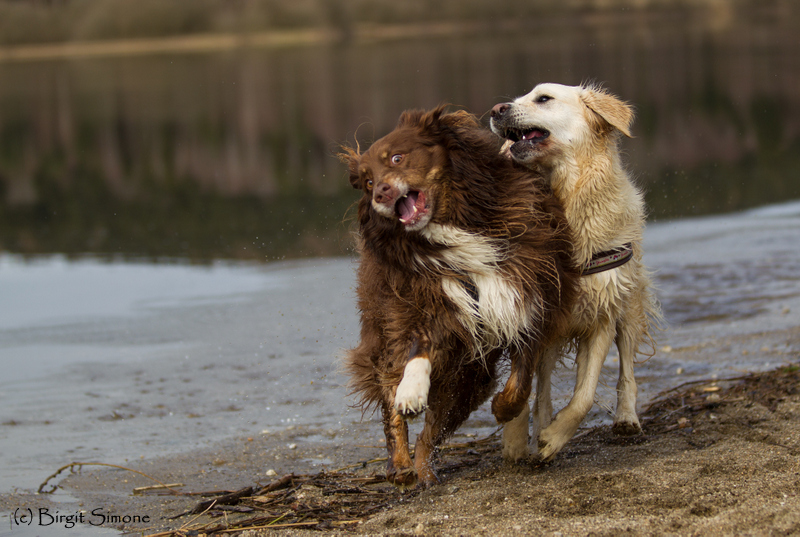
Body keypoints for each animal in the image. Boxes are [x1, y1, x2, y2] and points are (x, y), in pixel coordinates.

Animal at [340, 107, 580, 488]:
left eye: (397, 158)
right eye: (367, 182)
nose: (380, 195)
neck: (455, 226)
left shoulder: (530, 299)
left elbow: (522, 380)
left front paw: (504, 407)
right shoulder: (428, 304)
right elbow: (418, 350)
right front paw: (411, 391)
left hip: (467, 383)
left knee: (432, 433)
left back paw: (424, 472)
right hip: (390, 341)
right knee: (395, 410)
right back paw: (401, 466)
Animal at [490, 82, 660, 460]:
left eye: (543, 98)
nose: (495, 109)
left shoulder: (601, 313)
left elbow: (584, 395)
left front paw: (554, 438)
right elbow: (523, 387)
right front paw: (515, 438)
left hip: (630, 303)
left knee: (627, 367)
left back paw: (626, 418)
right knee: (542, 385)